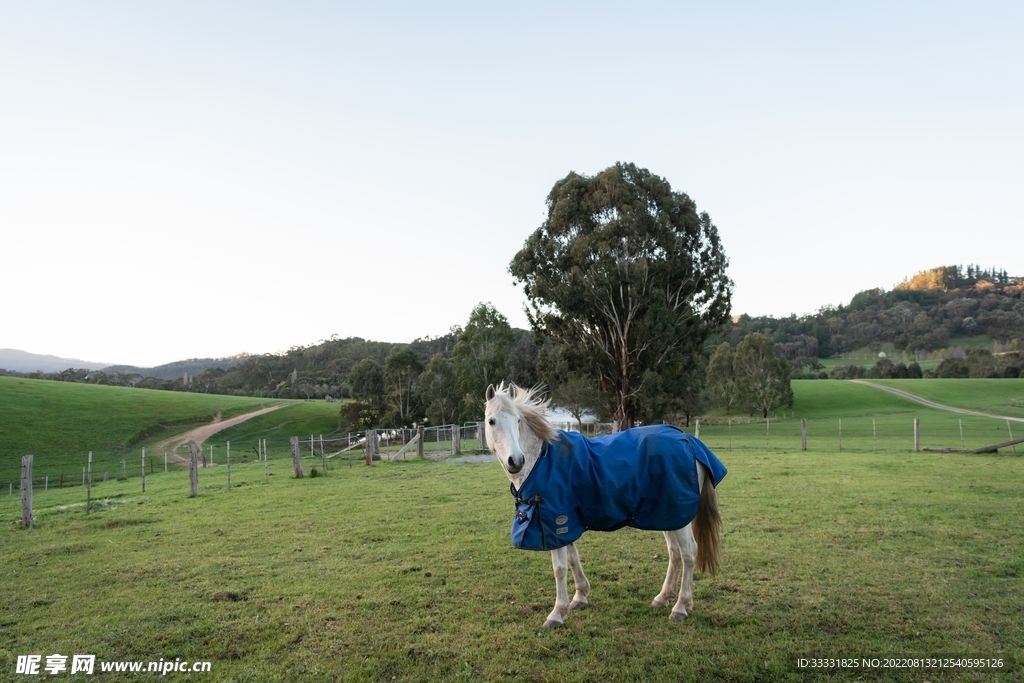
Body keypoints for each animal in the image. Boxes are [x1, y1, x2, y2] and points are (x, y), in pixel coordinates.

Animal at [484, 382, 726, 628]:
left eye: (518, 421)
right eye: (491, 421)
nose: (516, 460)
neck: (541, 459)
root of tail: (689, 440)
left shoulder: (555, 524)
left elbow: (559, 569)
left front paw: (557, 613)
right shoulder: (566, 524)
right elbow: (572, 559)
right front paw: (580, 596)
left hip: (680, 519)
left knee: (689, 553)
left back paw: (681, 606)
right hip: (668, 516)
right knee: (675, 553)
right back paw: (663, 598)